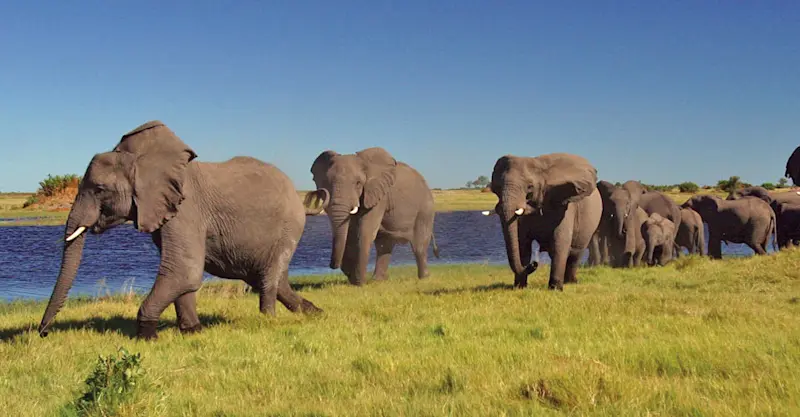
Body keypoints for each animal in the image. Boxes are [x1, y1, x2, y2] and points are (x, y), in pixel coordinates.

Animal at [38, 121, 324, 340]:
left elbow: (183, 270)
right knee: (270, 277)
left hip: (289, 227)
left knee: (268, 278)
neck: (143, 163)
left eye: (99, 189)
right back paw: (313, 312)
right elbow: (182, 276)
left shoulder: (186, 211)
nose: (42, 332)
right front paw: (193, 331)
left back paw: (269, 319)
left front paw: (147, 338)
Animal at [308, 147, 440, 286]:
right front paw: (354, 278)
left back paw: (424, 278)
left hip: (425, 209)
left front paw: (359, 283)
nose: (334, 265)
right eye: (327, 183)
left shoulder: (379, 196)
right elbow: (351, 232)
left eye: (358, 183)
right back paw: (378, 280)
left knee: (419, 246)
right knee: (384, 246)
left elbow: (364, 232)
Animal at [489, 153, 602, 290]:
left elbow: (560, 241)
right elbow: (522, 243)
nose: (534, 263)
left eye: (530, 187)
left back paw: (571, 282)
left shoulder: (565, 206)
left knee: (576, 253)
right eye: (496, 188)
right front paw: (519, 287)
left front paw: (555, 289)